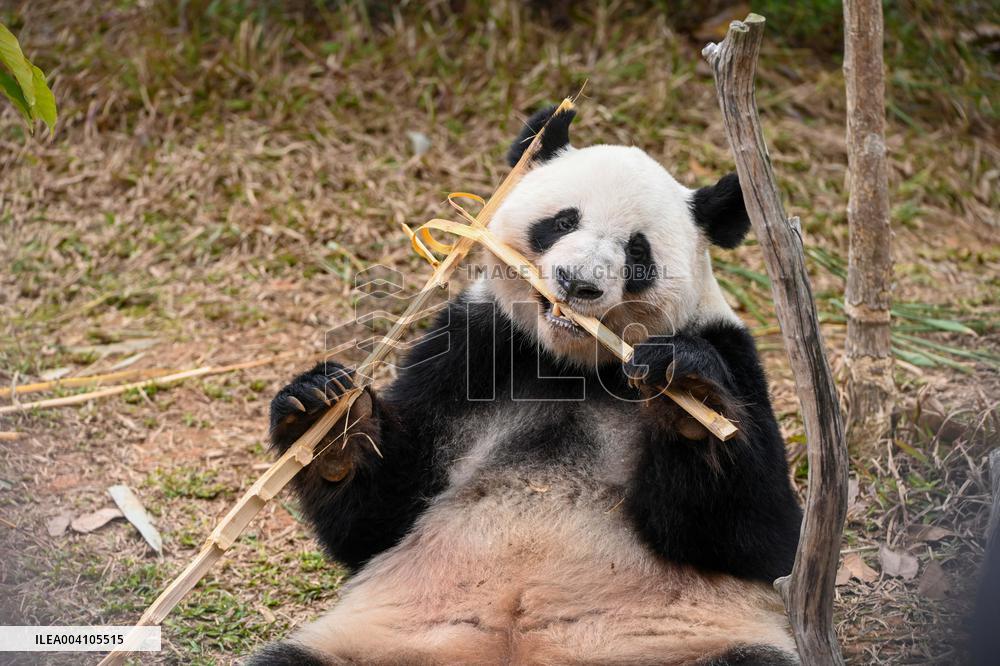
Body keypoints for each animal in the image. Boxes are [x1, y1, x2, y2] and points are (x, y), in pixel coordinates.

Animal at [249, 105, 803, 665]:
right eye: (563, 222)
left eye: (637, 251)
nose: (578, 282)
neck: (572, 366)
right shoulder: (471, 349)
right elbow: (379, 518)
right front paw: (329, 420)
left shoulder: (732, 352)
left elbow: (761, 534)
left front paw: (689, 401)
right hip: (390, 636)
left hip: (680, 640)